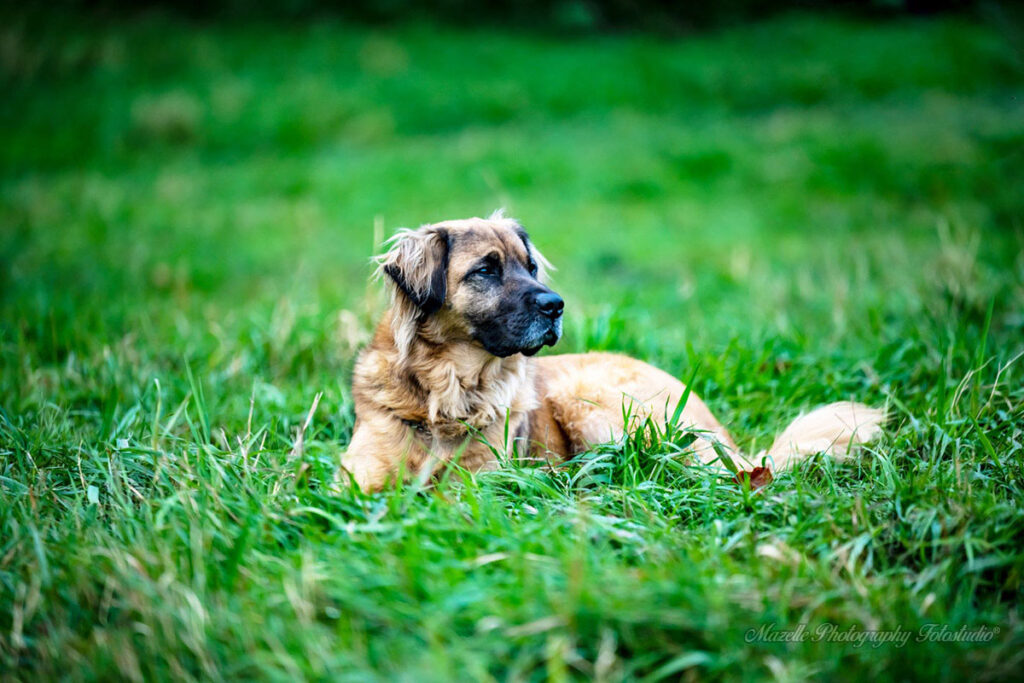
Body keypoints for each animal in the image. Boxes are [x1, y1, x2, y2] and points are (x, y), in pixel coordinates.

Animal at [339, 210, 884, 489]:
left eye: (529, 267)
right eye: (486, 270)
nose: (555, 306)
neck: (446, 395)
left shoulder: (481, 480)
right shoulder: (357, 478)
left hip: (591, 403)